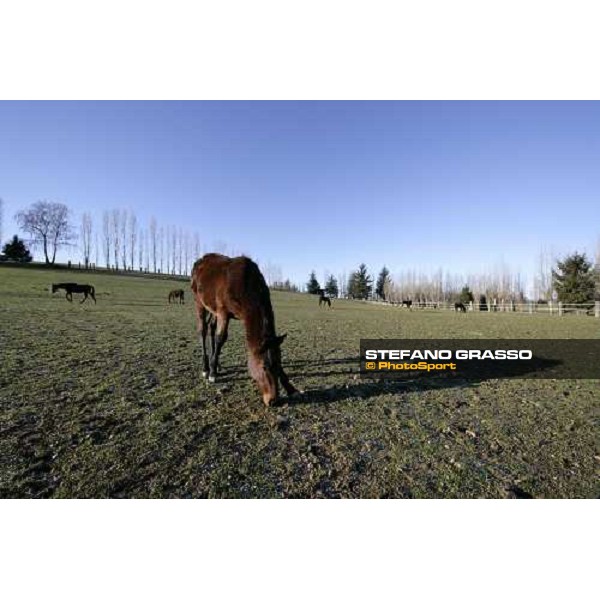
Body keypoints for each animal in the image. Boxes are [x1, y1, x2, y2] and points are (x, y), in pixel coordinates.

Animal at [190, 251, 298, 406]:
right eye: (264, 366)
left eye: (279, 364)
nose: (273, 400)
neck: (245, 286)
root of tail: (199, 261)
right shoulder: (223, 311)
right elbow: (221, 338)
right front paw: (212, 374)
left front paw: (291, 388)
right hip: (199, 302)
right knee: (203, 331)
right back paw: (206, 368)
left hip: (212, 309)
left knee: (211, 328)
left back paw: (217, 365)